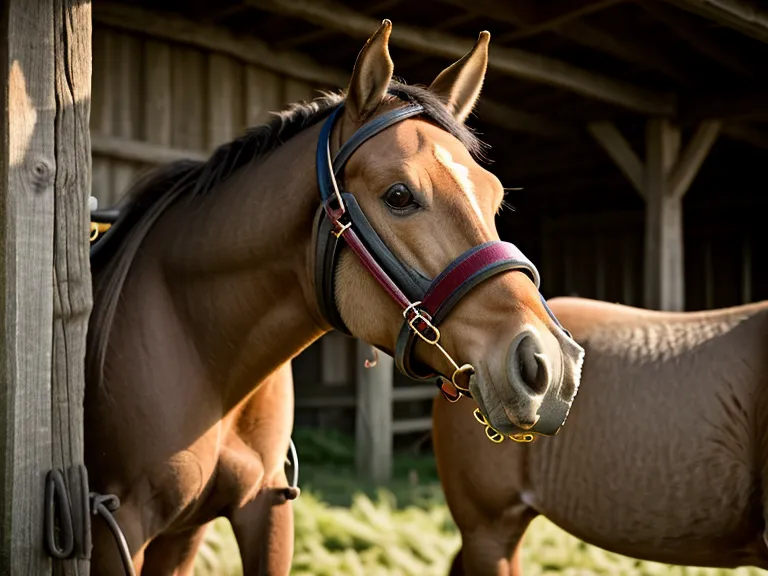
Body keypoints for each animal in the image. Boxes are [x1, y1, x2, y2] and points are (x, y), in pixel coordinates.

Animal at [83, 20, 585, 575]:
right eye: (399, 195)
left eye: (494, 197)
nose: (551, 367)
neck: (200, 344)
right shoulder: (117, 526)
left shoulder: (259, 511)